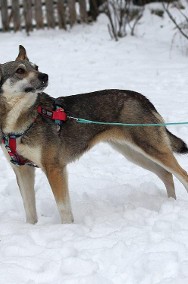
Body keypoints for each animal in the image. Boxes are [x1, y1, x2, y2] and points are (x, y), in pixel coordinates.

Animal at [0, 45, 188, 224]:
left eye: (36, 67)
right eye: (20, 71)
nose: (44, 76)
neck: (20, 120)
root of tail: (142, 98)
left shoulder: (54, 169)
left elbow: (64, 210)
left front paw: (67, 229)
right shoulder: (22, 170)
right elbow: (29, 211)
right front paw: (30, 227)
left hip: (152, 149)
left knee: (182, 175)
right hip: (135, 154)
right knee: (166, 174)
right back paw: (170, 203)